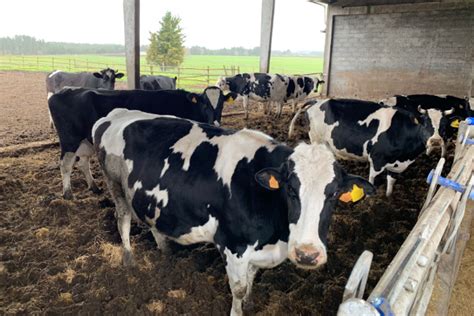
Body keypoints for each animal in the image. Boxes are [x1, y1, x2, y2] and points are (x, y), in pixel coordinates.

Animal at [48, 86, 237, 200]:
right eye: (205, 103)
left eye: (221, 104)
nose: (215, 122)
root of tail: (64, 90)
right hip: (69, 139)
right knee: (66, 164)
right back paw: (68, 194)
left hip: (84, 141)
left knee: (83, 162)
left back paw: (94, 187)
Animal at [91, 108, 374, 314]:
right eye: (290, 189)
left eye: (334, 194)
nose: (307, 254)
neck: (277, 237)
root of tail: (115, 114)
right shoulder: (232, 245)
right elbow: (237, 287)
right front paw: (238, 309)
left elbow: (251, 278)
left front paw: (250, 303)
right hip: (116, 188)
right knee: (123, 220)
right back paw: (129, 259)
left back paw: (165, 250)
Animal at [288, 99, 448, 198]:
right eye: (425, 122)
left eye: (443, 125)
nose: (435, 140)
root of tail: (318, 101)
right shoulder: (377, 160)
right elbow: (372, 181)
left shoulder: (397, 165)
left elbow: (391, 182)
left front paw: (388, 198)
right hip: (316, 139)